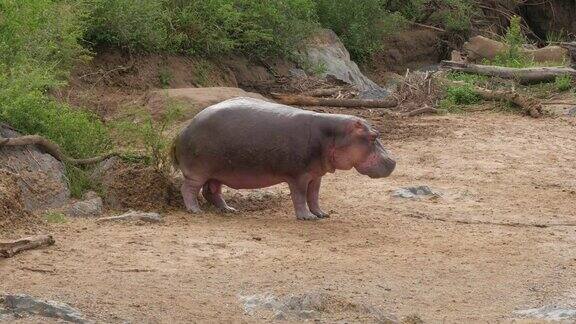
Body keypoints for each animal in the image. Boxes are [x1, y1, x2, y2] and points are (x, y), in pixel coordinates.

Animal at [171, 98, 396, 220]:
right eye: (373, 136)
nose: (393, 162)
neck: (333, 135)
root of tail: (182, 130)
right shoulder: (299, 176)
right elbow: (300, 196)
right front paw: (306, 217)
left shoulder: (316, 175)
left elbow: (314, 195)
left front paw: (321, 214)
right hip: (198, 171)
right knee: (188, 189)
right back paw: (195, 211)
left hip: (217, 172)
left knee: (212, 192)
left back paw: (229, 210)